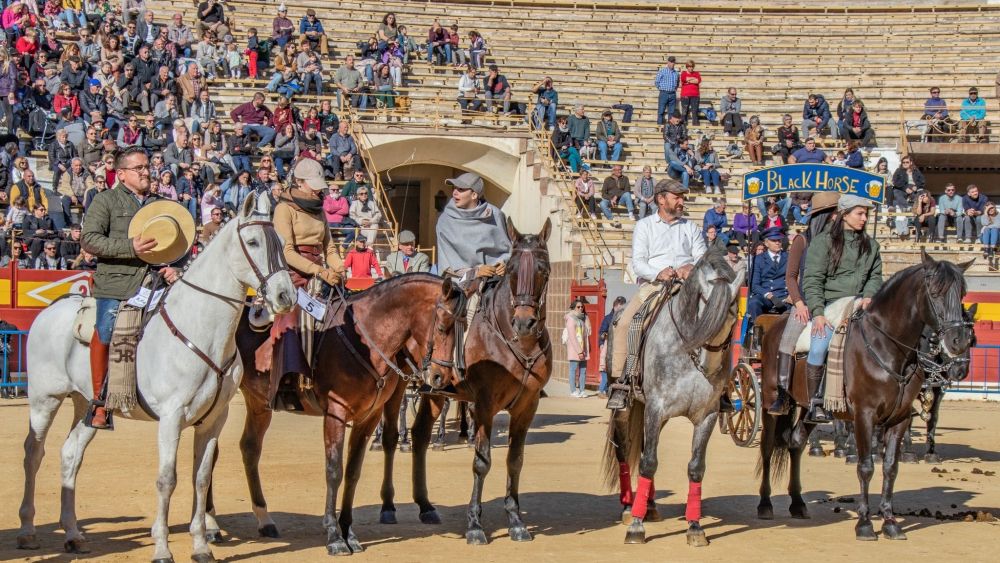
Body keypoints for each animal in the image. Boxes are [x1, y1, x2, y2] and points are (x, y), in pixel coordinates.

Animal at [17, 194, 294, 563]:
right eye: (252, 242)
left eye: (280, 241)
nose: (285, 296)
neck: (200, 328)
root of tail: (51, 309)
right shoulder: (171, 417)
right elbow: (167, 479)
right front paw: (162, 547)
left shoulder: (214, 419)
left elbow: (201, 477)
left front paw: (201, 545)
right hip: (44, 399)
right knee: (33, 452)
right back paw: (27, 530)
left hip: (86, 406)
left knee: (70, 455)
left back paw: (74, 535)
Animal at [217, 274, 462, 556]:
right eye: (442, 326)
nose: (441, 377)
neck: (366, 337)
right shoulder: (336, 412)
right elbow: (334, 470)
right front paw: (334, 536)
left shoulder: (368, 417)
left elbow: (353, 471)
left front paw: (348, 532)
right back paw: (212, 528)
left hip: (259, 403)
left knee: (249, 448)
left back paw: (264, 520)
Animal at [414, 218, 556, 544]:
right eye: (513, 269)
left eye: (543, 269)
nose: (524, 322)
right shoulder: (484, 405)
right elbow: (482, 462)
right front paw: (474, 525)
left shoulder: (526, 407)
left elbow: (514, 461)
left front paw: (515, 520)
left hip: (435, 390)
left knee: (419, 435)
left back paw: (424, 506)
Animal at [760, 253, 972, 540]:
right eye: (936, 292)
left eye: (961, 293)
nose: (958, 342)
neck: (887, 348)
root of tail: (775, 326)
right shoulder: (864, 415)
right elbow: (866, 466)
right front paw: (864, 523)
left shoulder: (900, 419)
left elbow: (890, 467)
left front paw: (890, 521)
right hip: (770, 402)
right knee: (768, 447)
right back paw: (765, 503)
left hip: (807, 409)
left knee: (795, 442)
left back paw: (798, 503)